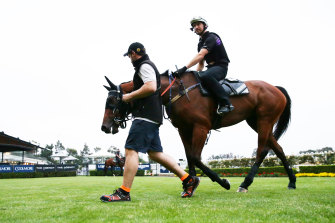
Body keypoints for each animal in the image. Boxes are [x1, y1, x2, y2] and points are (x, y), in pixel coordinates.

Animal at [101, 71, 296, 192]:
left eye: (112, 101)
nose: (104, 127)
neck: (177, 92)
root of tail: (275, 88)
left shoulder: (200, 127)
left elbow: (195, 157)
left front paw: (222, 182)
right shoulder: (184, 129)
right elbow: (189, 157)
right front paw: (190, 184)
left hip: (265, 121)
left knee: (262, 150)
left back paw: (245, 183)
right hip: (256, 122)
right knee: (278, 149)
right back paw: (292, 181)